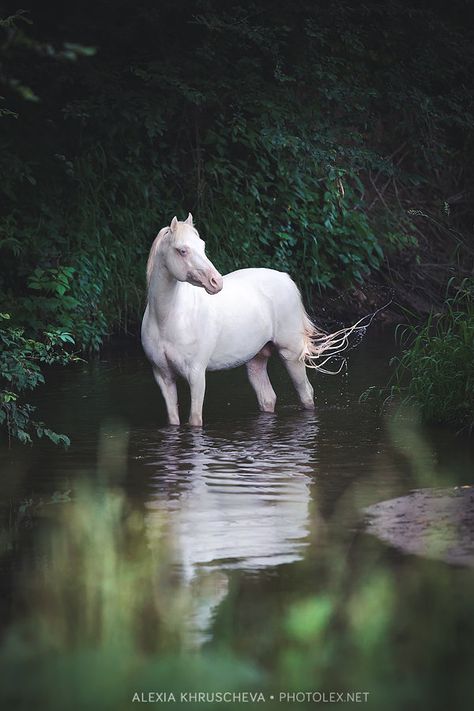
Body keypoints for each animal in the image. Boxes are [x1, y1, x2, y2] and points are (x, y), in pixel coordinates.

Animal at [143, 214, 358, 426]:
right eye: (182, 250)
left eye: (202, 246)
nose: (216, 282)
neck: (167, 320)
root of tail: (286, 278)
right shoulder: (163, 377)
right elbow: (173, 420)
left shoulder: (196, 374)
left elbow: (195, 419)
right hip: (256, 360)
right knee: (268, 397)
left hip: (291, 355)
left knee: (305, 393)